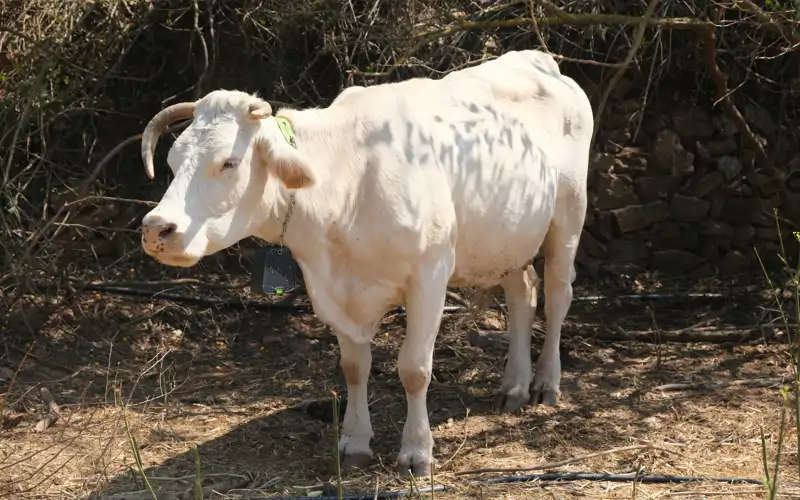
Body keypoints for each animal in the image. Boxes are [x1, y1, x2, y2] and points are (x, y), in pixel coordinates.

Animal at [137, 49, 593, 477]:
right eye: (173, 162)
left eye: (228, 162)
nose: (157, 229)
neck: (348, 186)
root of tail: (539, 60)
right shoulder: (334, 290)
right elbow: (355, 367)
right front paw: (354, 442)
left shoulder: (429, 276)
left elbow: (414, 368)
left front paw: (416, 452)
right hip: (507, 237)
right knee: (523, 293)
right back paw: (514, 386)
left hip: (568, 216)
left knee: (557, 295)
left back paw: (545, 384)